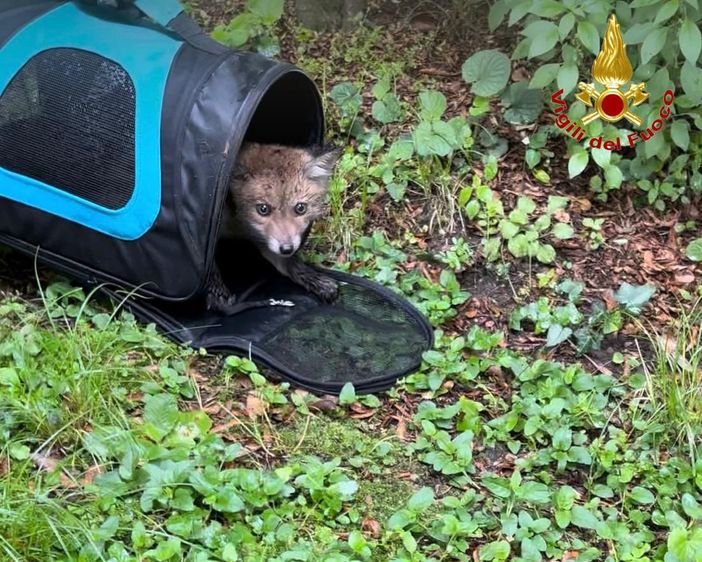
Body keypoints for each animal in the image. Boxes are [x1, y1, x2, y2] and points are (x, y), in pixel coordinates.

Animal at [206, 142, 341, 315]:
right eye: (263, 209)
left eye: (300, 208)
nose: (287, 248)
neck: (238, 223)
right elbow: (209, 268)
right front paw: (217, 294)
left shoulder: (264, 240)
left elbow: (291, 264)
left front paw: (317, 282)